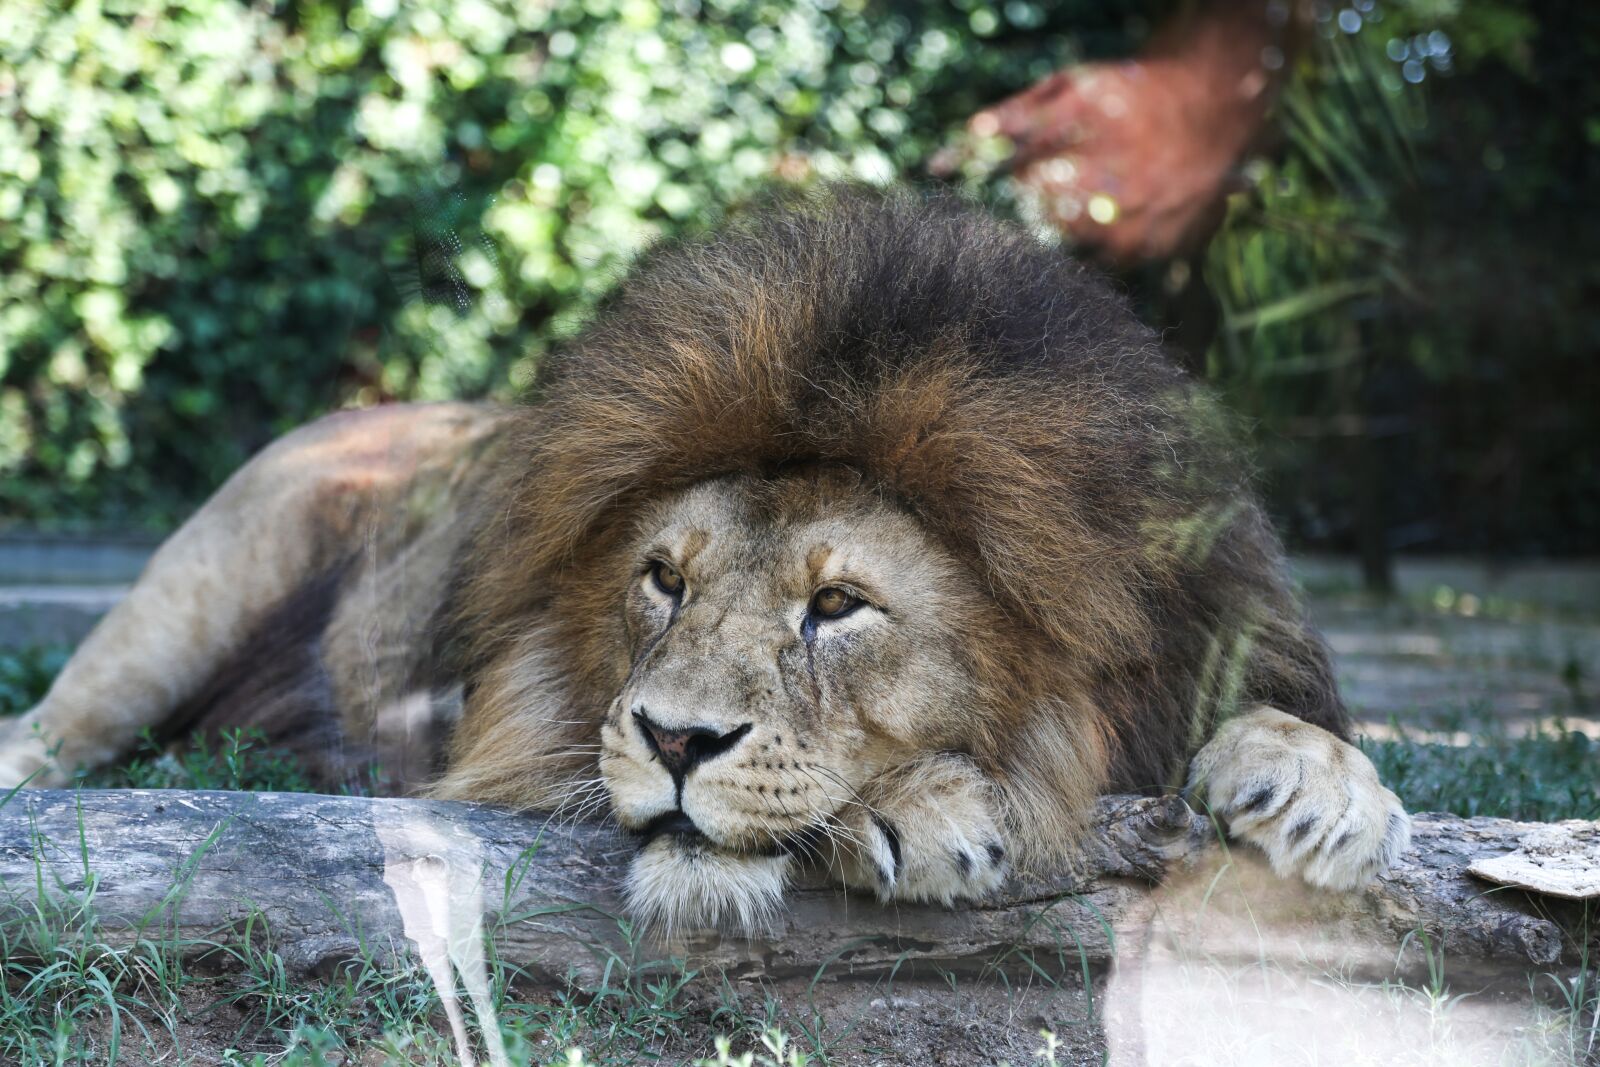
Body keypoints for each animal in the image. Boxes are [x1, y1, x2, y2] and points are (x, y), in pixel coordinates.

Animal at [0, 190, 1409, 931]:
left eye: (836, 603)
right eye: (662, 579)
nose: (676, 741)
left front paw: (1319, 790)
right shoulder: (503, 747)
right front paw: (923, 806)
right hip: (186, 593)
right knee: (50, 728)